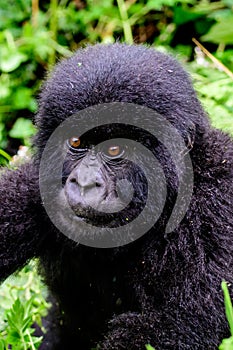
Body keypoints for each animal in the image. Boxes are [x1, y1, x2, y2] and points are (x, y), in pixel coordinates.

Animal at [0, 44, 233, 350]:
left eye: (113, 150)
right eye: (75, 142)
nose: (84, 183)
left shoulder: (217, 208)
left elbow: (185, 323)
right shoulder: (37, 184)